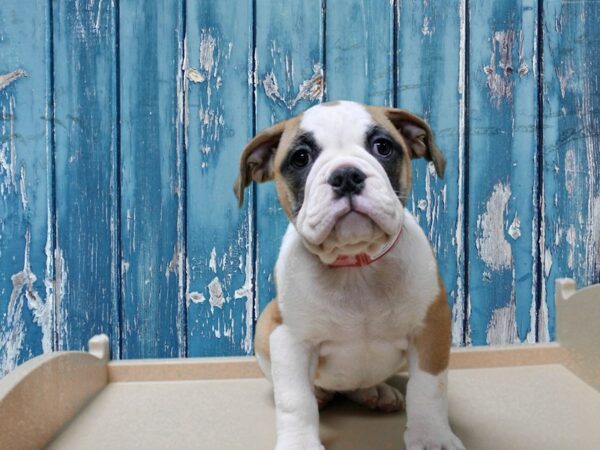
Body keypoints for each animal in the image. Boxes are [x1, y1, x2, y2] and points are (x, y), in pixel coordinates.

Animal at [234, 101, 464, 450]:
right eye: (300, 158)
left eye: (382, 147)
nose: (345, 176)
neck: (356, 266)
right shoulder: (289, 340)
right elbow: (295, 399)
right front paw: (300, 442)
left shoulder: (431, 328)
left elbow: (429, 387)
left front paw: (432, 436)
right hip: (266, 323)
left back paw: (375, 392)